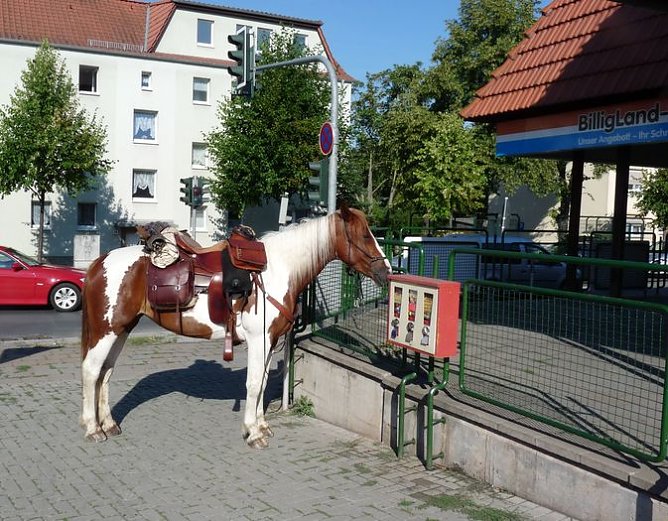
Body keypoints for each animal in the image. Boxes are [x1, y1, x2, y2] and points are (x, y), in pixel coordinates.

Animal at [80, 206, 391, 448]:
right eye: (365, 235)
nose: (386, 272)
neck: (276, 270)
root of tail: (99, 263)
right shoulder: (259, 340)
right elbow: (253, 384)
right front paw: (253, 433)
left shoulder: (271, 342)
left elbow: (263, 383)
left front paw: (262, 426)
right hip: (106, 331)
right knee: (91, 371)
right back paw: (93, 429)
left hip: (122, 329)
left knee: (105, 374)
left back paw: (109, 424)